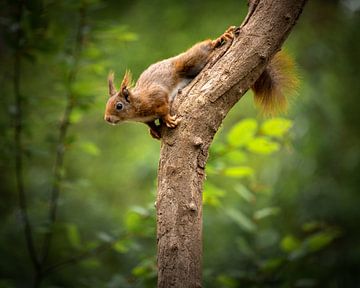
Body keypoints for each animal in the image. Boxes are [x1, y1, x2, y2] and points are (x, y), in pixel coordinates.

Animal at [103, 26, 298, 140]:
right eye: (107, 104)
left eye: (119, 106)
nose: (107, 119)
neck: (137, 107)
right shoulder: (147, 117)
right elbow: (151, 123)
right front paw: (154, 132)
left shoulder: (156, 96)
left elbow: (164, 108)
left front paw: (167, 120)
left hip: (189, 62)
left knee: (204, 47)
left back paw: (219, 39)